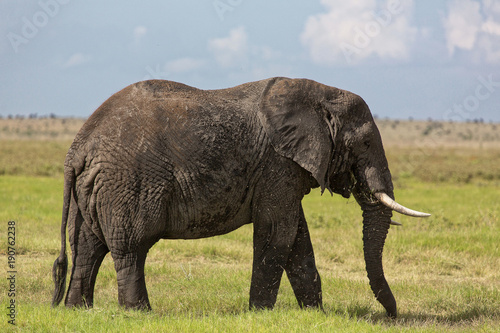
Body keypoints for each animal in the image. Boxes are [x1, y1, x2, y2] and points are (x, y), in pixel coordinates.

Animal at [52, 77, 432, 316]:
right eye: (365, 143)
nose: (393, 315)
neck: (322, 92)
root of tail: (76, 148)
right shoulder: (278, 163)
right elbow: (278, 233)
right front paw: (259, 314)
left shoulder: (283, 171)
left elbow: (299, 239)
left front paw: (315, 315)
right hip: (128, 183)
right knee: (130, 248)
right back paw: (141, 315)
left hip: (97, 186)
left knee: (88, 246)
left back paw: (77, 310)